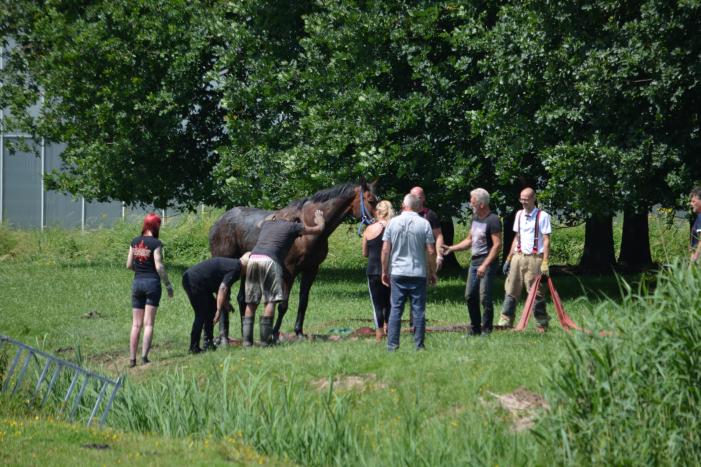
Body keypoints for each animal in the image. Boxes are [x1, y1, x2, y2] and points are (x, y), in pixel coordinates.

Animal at [209, 180, 379, 339]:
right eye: (371, 201)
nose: (378, 223)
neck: (307, 226)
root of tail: (219, 222)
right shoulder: (290, 271)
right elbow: (283, 304)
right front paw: (275, 333)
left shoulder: (311, 270)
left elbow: (303, 302)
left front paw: (299, 332)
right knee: (223, 297)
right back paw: (223, 336)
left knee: (241, 299)